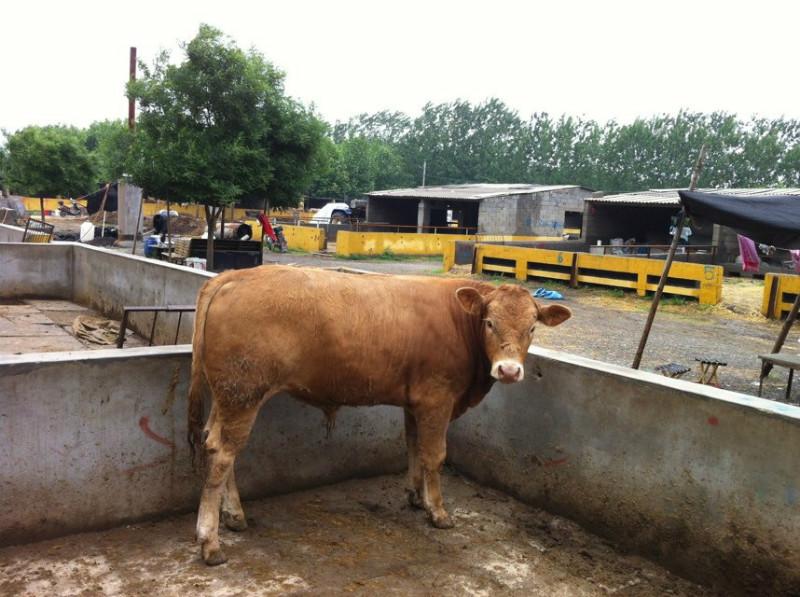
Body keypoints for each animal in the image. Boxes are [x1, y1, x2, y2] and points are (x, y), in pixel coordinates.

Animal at [188, 266, 568, 564]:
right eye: (489, 322)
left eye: (533, 327)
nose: (509, 370)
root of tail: (234, 275)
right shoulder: (437, 399)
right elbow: (435, 455)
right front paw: (438, 511)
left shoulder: (416, 403)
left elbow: (414, 447)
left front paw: (416, 496)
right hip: (243, 394)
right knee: (223, 454)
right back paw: (210, 541)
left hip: (227, 397)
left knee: (212, 442)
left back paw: (234, 515)